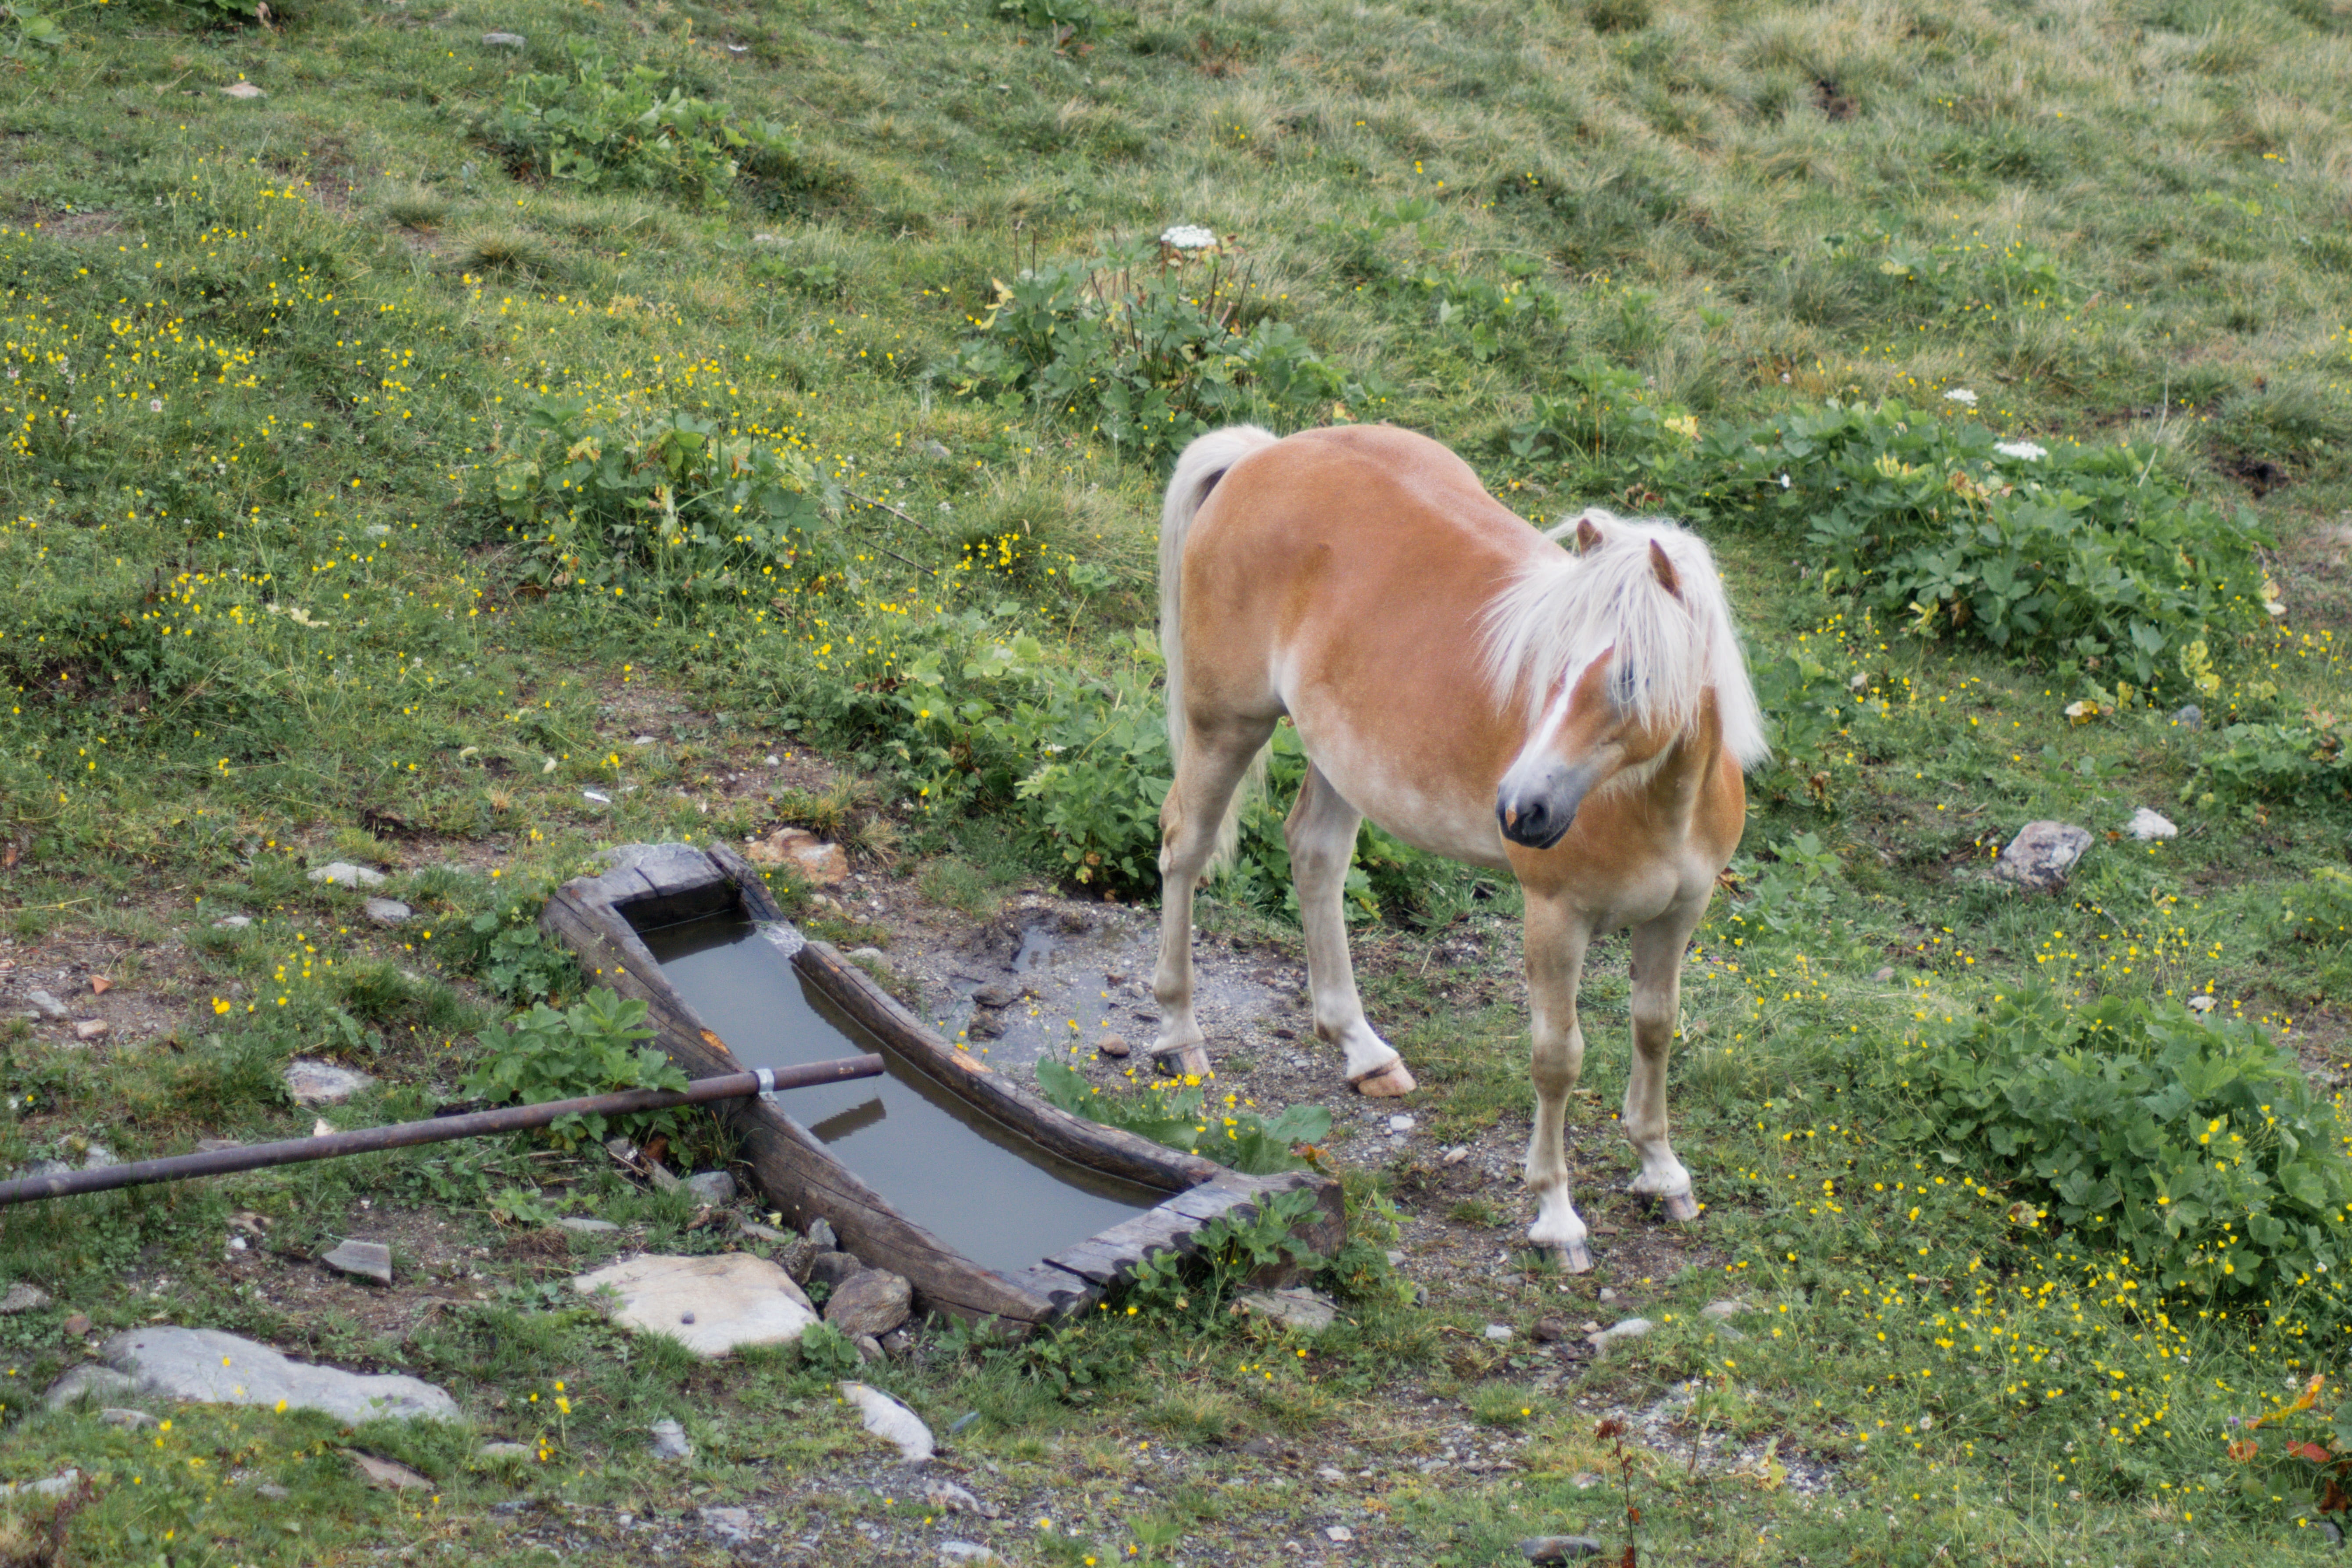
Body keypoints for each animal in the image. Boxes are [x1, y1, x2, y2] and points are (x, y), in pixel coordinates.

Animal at [1148, 423, 1767, 1269]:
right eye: (1551, 662)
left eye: (1633, 676)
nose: (1522, 808)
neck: (1656, 800)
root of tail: (1264, 452)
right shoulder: (1555, 918)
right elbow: (1558, 1057)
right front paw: (1556, 1217)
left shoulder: (1679, 913)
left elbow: (1655, 1026)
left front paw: (1660, 1170)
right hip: (1227, 724)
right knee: (1184, 848)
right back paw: (1180, 1035)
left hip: (1343, 756)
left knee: (1316, 857)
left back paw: (1364, 1049)